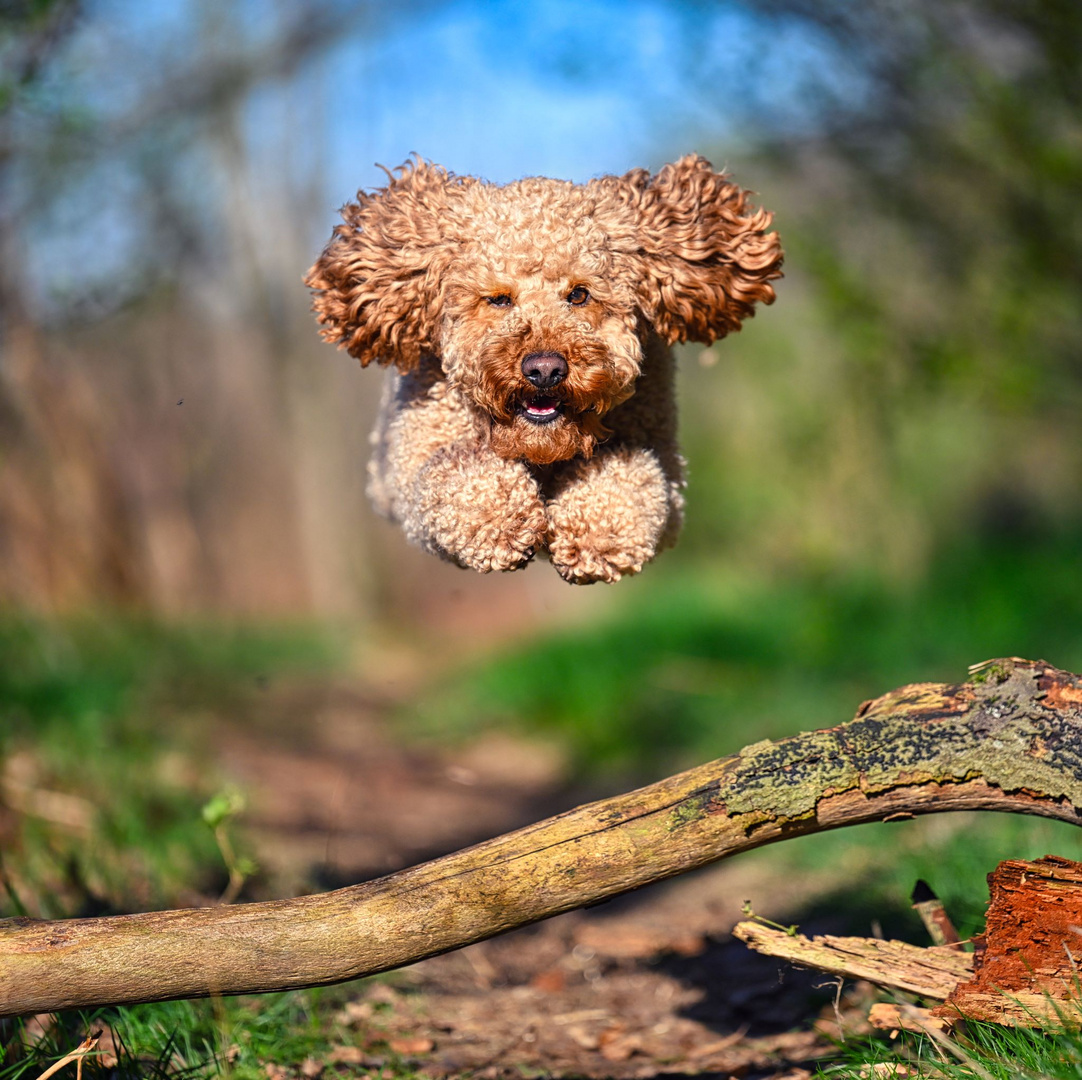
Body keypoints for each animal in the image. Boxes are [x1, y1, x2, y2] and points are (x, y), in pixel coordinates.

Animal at [305, 152, 779, 584]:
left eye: (580, 294)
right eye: (498, 298)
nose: (545, 370)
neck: (542, 447)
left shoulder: (666, 468)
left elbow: (633, 474)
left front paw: (596, 533)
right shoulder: (416, 447)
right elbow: (449, 471)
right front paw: (499, 520)